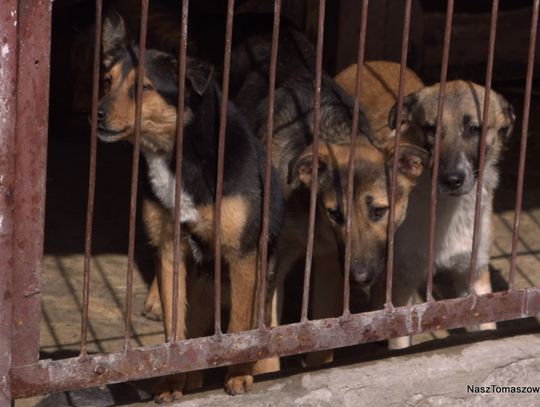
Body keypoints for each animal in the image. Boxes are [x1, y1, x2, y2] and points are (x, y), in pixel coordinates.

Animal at [97, 13, 282, 404]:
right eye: (107, 81)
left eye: (143, 88)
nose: (98, 113)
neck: (180, 156)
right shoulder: (170, 252)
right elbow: (175, 333)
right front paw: (171, 382)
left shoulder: (243, 255)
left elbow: (239, 327)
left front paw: (238, 375)